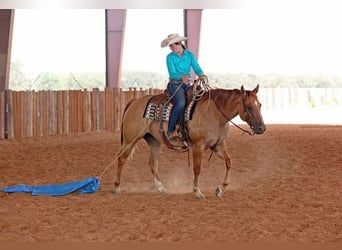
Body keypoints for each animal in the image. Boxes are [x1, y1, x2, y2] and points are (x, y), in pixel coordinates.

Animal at [113, 84, 266, 199]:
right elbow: (197, 168)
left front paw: (220, 190)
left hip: (154, 141)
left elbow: (229, 162)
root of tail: (134, 102)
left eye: (260, 105)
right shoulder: (198, 146)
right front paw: (198, 192)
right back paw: (117, 187)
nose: (262, 128)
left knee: (153, 164)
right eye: (249, 107)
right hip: (130, 140)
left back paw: (163, 189)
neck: (214, 114)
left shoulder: (218, 145)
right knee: (121, 159)